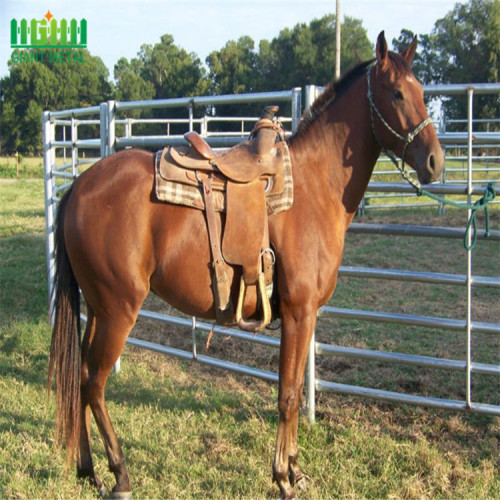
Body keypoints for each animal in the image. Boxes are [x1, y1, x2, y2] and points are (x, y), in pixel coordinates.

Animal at [48, 33, 444, 498]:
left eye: (422, 91)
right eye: (397, 92)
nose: (435, 161)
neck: (313, 186)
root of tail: (79, 187)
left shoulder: (305, 317)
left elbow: (294, 389)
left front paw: (296, 470)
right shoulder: (298, 312)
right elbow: (288, 395)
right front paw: (283, 478)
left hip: (97, 309)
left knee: (79, 376)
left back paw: (87, 468)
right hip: (118, 311)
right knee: (94, 382)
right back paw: (120, 473)